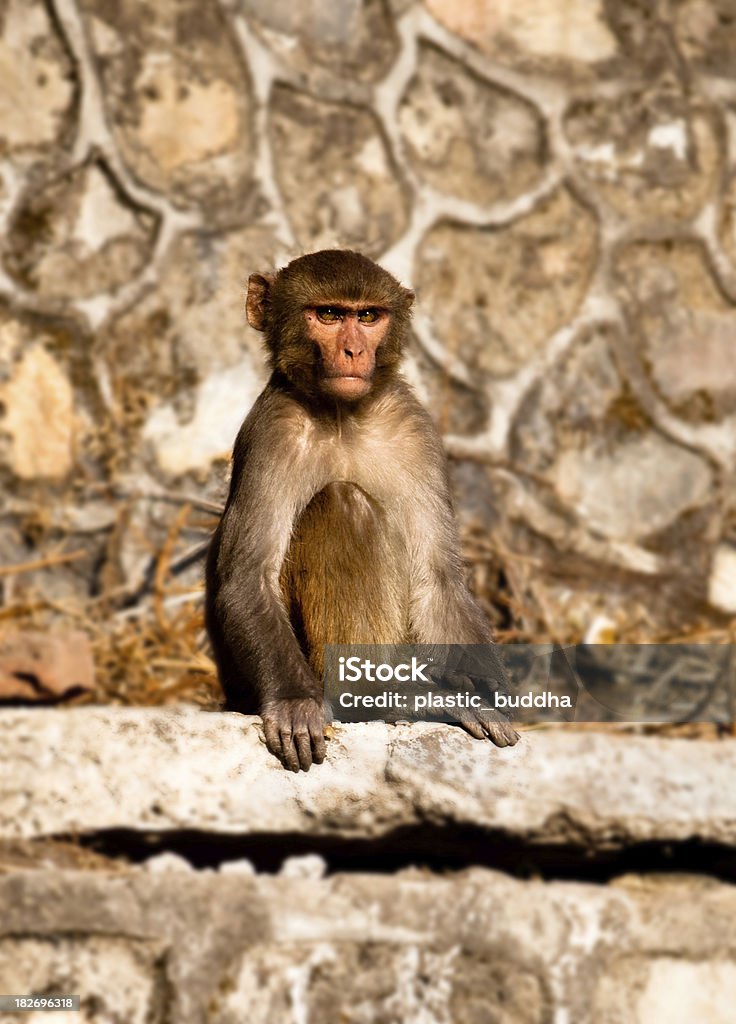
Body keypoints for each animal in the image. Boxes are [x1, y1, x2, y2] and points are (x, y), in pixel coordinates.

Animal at [204, 251, 522, 770]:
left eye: (368, 316)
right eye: (329, 315)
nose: (354, 351)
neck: (341, 417)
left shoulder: (414, 427)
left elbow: (437, 576)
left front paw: (489, 690)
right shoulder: (273, 431)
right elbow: (249, 577)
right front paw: (294, 702)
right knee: (341, 503)